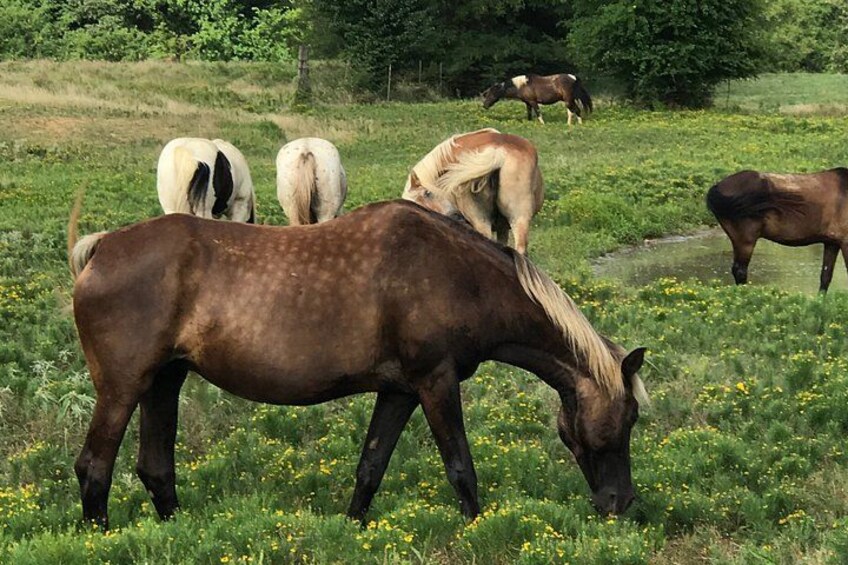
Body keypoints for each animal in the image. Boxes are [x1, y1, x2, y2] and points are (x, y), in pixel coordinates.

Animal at [68, 198, 648, 531]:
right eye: (630, 418)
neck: (460, 275)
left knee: (155, 467)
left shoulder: (401, 391)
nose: (620, 503)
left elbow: (370, 466)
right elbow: (461, 468)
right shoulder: (436, 383)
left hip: (164, 381)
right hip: (122, 388)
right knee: (94, 466)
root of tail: (102, 249)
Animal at [706, 168, 848, 292]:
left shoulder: (832, 243)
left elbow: (825, 276)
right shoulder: (845, 242)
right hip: (745, 240)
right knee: (740, 271)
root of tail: (716, 188)